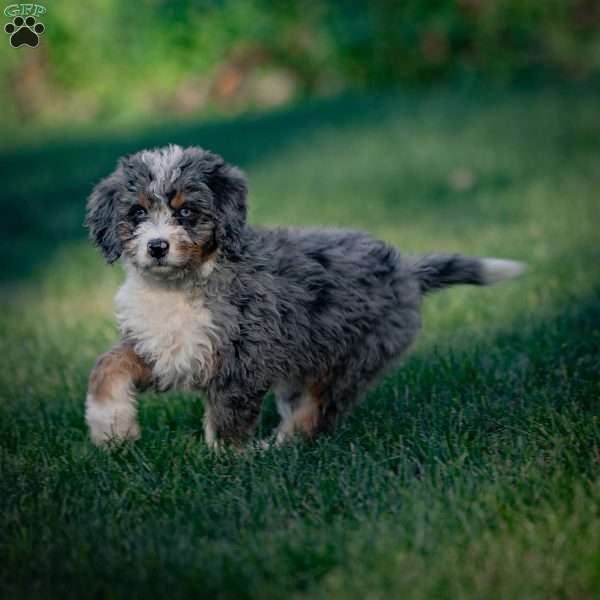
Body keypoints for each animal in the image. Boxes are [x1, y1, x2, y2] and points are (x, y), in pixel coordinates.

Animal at [84, 144, 524, 446]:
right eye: (138, 213)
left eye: (186, 212)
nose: (157, 247)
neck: (178, 285)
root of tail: (406, 270)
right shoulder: (164, 348)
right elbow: (108, 366)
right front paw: (111, 428)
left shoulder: (242, 361)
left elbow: (227, 420)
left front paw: (224, 466)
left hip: (350, 360)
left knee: (315, 416)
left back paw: (276, 450)